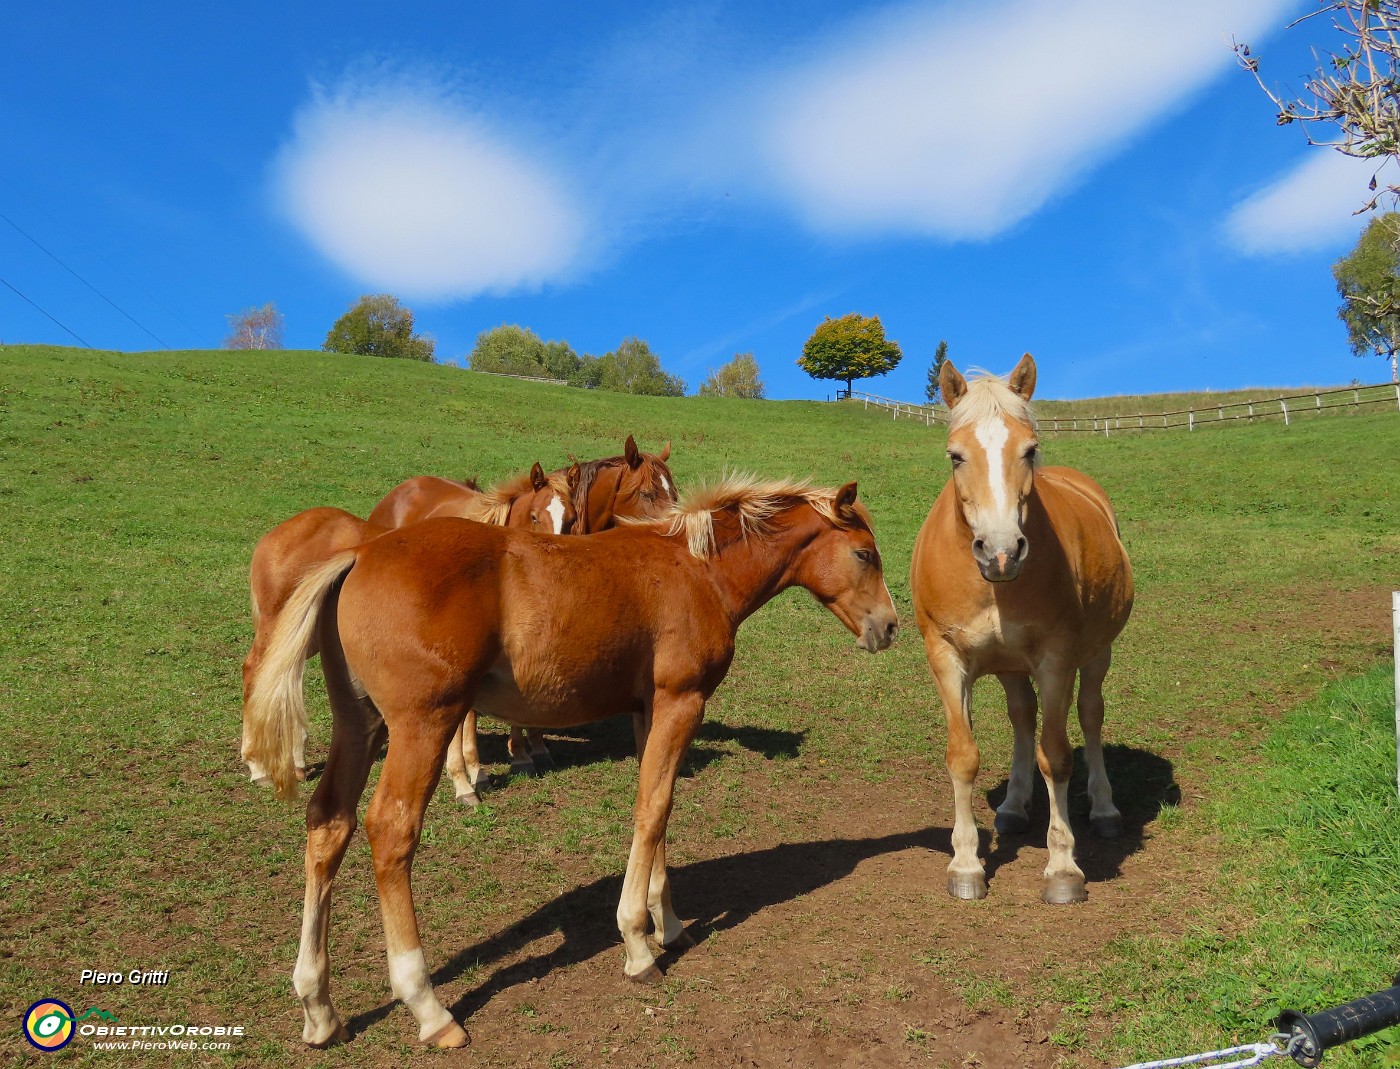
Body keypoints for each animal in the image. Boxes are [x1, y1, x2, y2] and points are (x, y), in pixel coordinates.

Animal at [242, 476, 898, 1048]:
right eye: (865, 553)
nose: (889, 627)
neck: (696, 570)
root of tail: (358, 554)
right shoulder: (682, 699)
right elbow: (652, 809)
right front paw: (638, 944)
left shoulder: (650, 709)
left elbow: (657, 810)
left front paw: (669, 924)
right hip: (422, 724)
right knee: (390, 830)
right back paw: (428, 1007)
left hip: (360, 726)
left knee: (328, 823)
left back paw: (319, 1008)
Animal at [909, 354, 1133, 905]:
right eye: (956, 456)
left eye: (1029, 450)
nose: (1001, 551)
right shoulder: (946, 658)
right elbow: (963, 756)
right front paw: (966, 864)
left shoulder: (1056, 659)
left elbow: (1056, 755)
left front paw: (1063, 868)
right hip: (1010, 666)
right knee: (1021, 717)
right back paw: (1013, 807)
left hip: (1096, 655)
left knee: (1090, 717)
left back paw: (1104, 810)